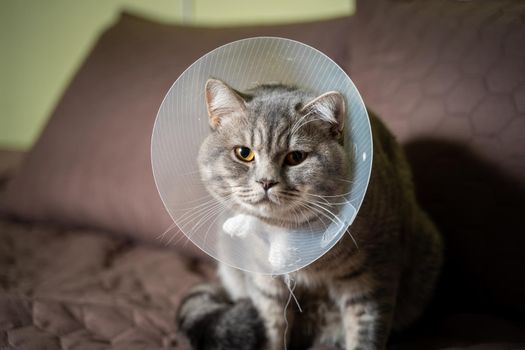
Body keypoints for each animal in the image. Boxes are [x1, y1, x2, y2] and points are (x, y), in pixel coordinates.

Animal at [177, 79, 442, 350]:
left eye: (296, 157)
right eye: (244, 153)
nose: (266, 182)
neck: (288, 231)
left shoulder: (371, 277)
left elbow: (365, 334)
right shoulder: (265, 284)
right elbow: (273, 332)